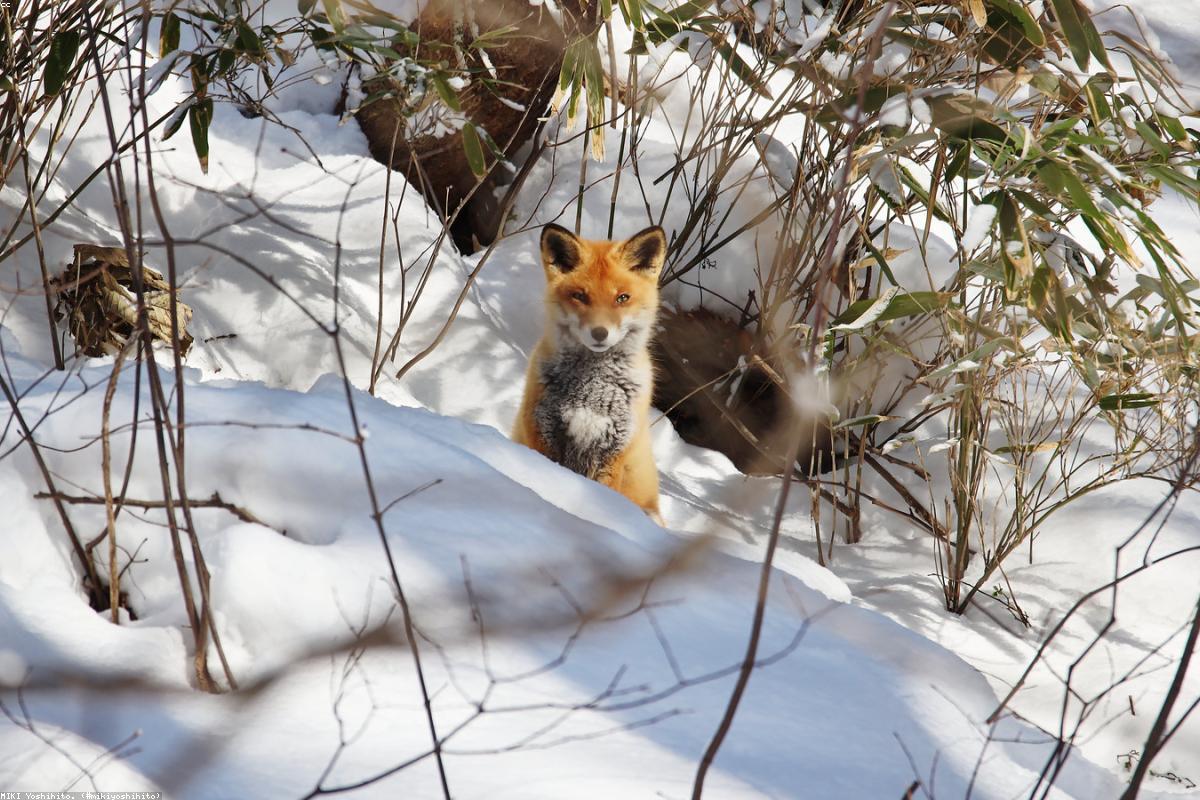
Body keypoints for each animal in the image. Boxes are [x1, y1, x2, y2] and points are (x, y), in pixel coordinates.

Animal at [512, 223, 668, 524]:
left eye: (622, 298)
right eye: (580, 296)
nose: (599, 333)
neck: (591, 392)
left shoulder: (613, 452)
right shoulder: (542, 433)